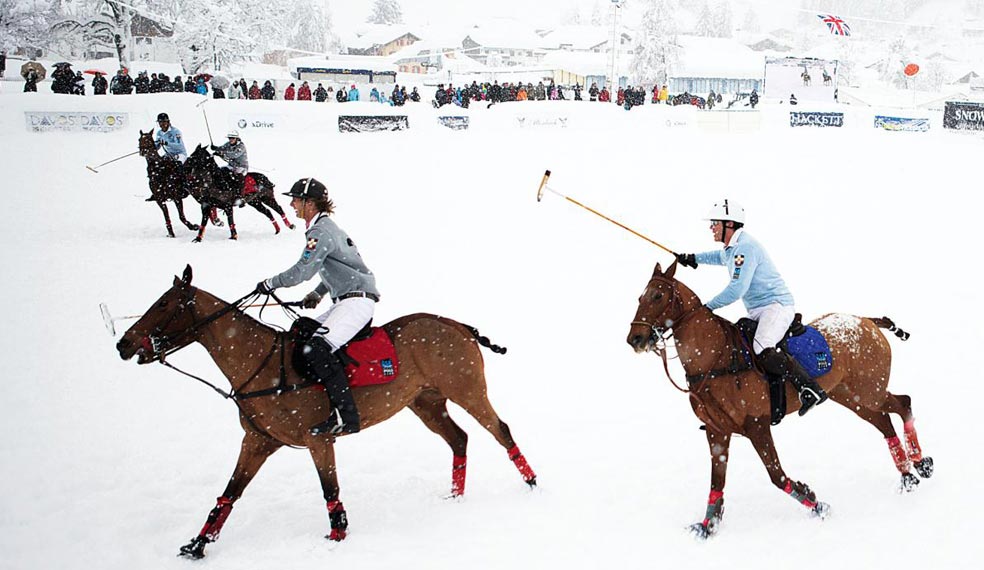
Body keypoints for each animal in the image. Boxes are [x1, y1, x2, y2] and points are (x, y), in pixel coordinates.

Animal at [115, 266, 540, 556]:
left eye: (163, 304)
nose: (123, 344)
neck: (261, 363)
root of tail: (460, 326)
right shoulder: (257, 441)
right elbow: (229, 494)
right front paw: (197, 545)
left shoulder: (319, 439)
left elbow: (329, 489)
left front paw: (337, 537)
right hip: (426, 403)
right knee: (459, 439)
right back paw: (455, 497)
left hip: (467, 390)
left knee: (500, 430)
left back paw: (532, 483)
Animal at [628, 260, 936, 536]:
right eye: (640, 296)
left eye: (657, 296)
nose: (635, 339)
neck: (716, 359)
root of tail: (867, 321)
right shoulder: (717, 432)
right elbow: (717, 481)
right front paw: (707, 526)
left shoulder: (757, 425)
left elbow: (776, 475)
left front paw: (815, 502)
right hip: (852, 396)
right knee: (884, 420)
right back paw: (908, 476)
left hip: (869, 391)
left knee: (904, 402)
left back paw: (920, 461)